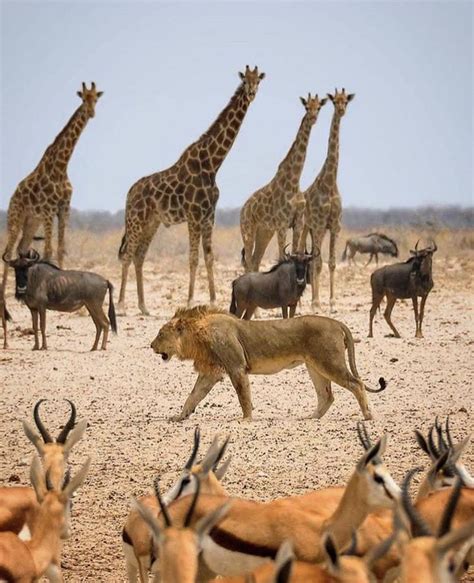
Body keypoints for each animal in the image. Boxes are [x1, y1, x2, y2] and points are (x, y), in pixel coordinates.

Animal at [1, 81, 102, 292]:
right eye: (83, 98)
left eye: (96, 99)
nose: (91, 113)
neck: (61, 166)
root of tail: (12, 197)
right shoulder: (48, 210)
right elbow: (48, 250)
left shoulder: (64, 208)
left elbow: (61, 249)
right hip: (16, 218)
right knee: (8, 251)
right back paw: (3, 297)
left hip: (32, 221)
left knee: (21, 248)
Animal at [116, 66, 264, 318]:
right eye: (245, 81)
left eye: (258, 81)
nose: (252, 93)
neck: (212, 164)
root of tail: (130, 193)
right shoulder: (194, 215)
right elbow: (194, 258)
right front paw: (190, 300)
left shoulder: (209, 215)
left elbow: (209, 257)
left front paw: (213, 300)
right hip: (135, 219)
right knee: (127, 255)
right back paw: (122, 306)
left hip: (152, 222)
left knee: (139, 256)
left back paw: (144, 307)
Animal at [152, 308, 386, 422]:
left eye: (161, 334)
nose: (151, 345)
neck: (197, 336)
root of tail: (337, 323)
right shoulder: (210, 373)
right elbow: (193, 395)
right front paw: (180, 416)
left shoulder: (236, 367)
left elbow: (243, 396)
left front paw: (246, 419)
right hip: (315, 366)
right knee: (327, 395)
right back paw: (311, 417)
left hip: (329, 362)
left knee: (356, 384)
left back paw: (367, 415)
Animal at [241, 93, 326, 272]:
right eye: (306, 107)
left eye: (319, 107)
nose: (313, 118)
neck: (294, 181)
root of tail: (243, 210)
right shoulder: (281, 223)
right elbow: (282, 256)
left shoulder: (298, 222)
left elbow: (295, 253)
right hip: (248, 229)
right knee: (249, 262)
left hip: (264, 232)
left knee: (256, 260)